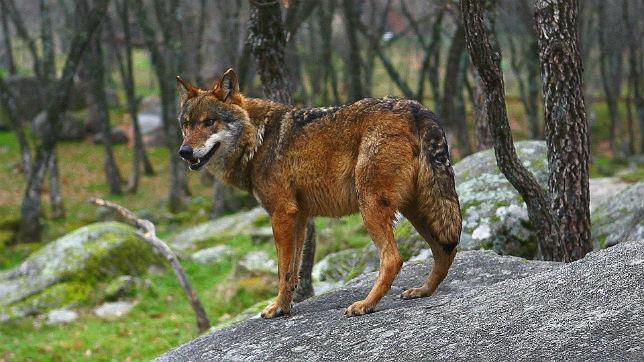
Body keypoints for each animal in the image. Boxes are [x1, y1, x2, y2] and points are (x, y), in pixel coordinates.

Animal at [175, 69, 458, 318]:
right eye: (186, 125)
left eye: (209, 122)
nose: (184, 152)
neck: (258, 139)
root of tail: (417, 109)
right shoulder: (298, 218)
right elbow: (293, 271)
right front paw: (284, 308)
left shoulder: (281, 214)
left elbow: (282, 271)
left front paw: (276, 308)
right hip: (416, 209)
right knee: (445, 250)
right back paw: (423, 291)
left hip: (372, 207)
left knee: (394, 259)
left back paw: (366, 304)